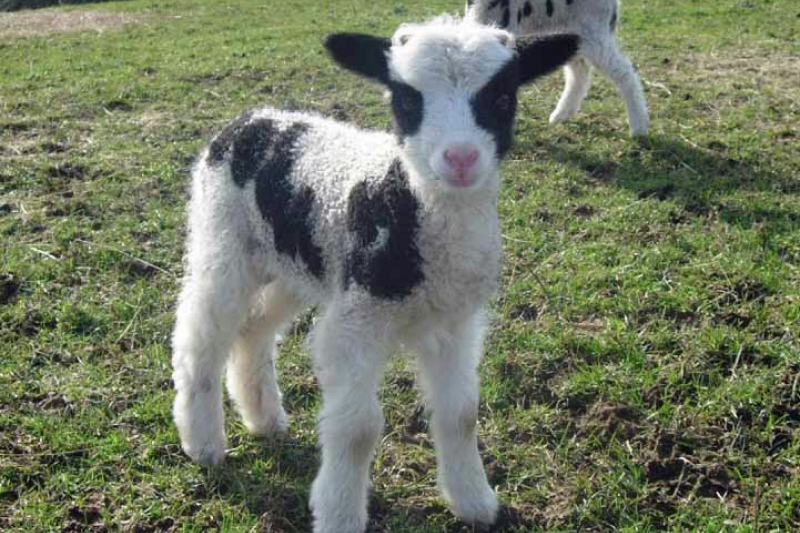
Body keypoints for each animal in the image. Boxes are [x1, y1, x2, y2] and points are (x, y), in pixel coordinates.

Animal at [170, 15, 578, 533]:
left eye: (503, 96)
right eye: (405, 99)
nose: (461, 159)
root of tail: (251, 119)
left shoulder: (455, 322)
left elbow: (461, 414)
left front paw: (474, 502)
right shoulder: (357, 322)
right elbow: (358, 430)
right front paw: (340, 514)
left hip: (296, 265)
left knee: (253, 331)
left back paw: (264, 418)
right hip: (222, 241)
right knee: (202, 338)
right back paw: (203, 443)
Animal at [466, 0, 649, 136]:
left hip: (593, 31)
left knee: (624, 73)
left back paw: (639, 127)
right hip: (569, 33)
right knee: (579, 72)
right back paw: (562, 114)